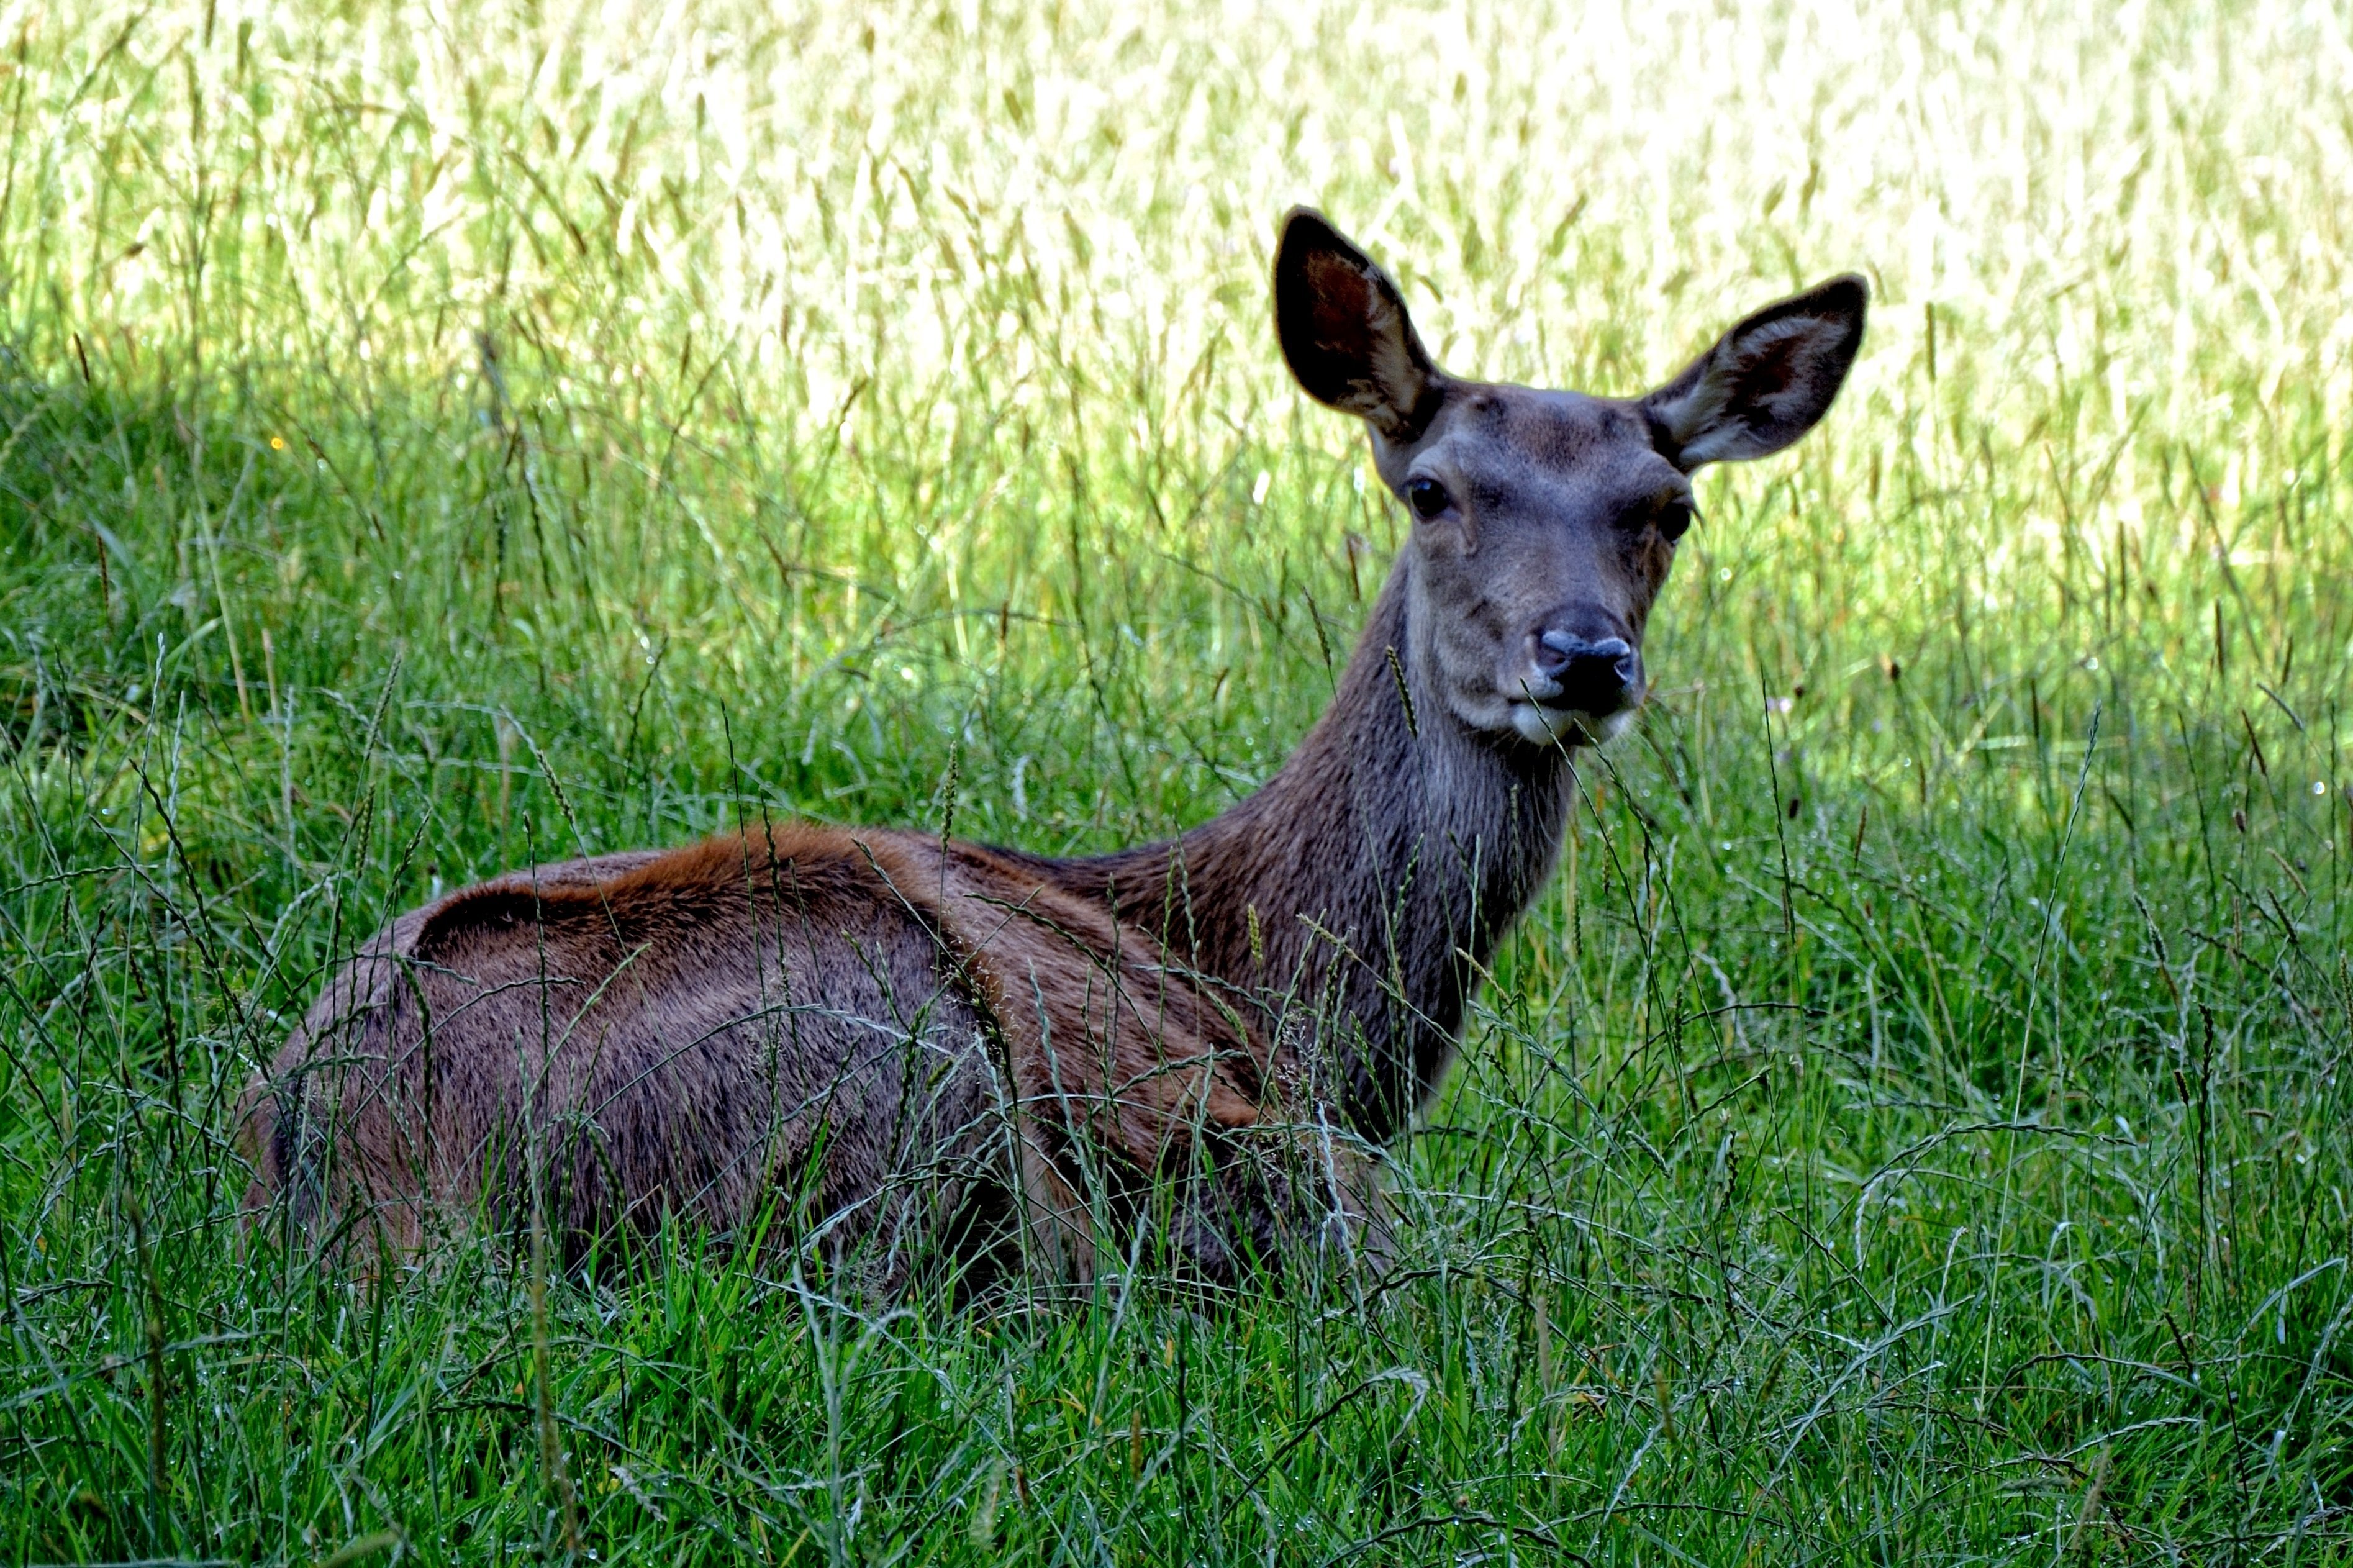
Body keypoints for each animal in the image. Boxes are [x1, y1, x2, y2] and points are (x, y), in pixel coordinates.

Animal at [234, 207, 1854, 1290]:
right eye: (1434, 489)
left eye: (1667, 509)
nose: (1581, 653)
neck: (1265, 974)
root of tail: (361, 1178)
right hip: (904, 1059)